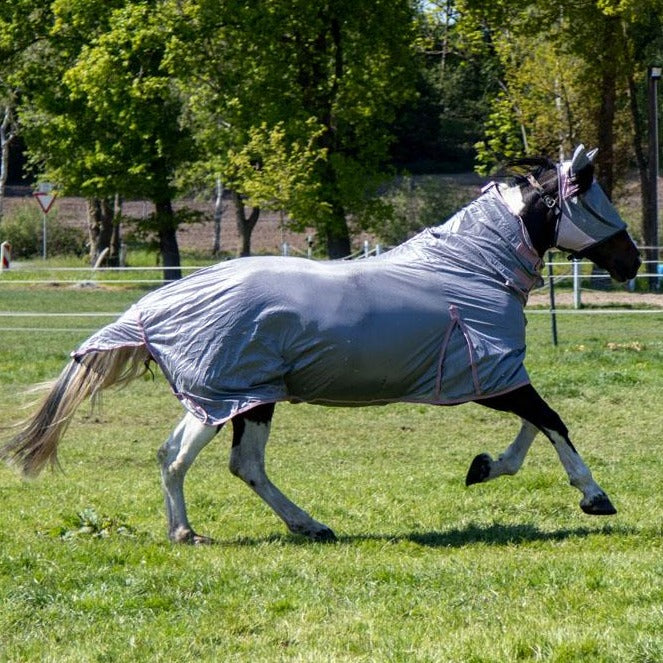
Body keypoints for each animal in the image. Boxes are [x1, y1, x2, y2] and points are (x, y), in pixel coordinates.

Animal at [1, 145, 641, 544]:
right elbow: (553, 420)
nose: (632, 263)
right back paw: (195, 533)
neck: (470, 270)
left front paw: (484, 468)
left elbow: (536, 423)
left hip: (234, 398)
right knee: (197, 460)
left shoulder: (495, 376)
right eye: (593, 199)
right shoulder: (492, 376)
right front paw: (594, 496)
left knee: (200, 459)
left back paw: (299, 526)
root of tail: (153, 307)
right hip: (231, 396)